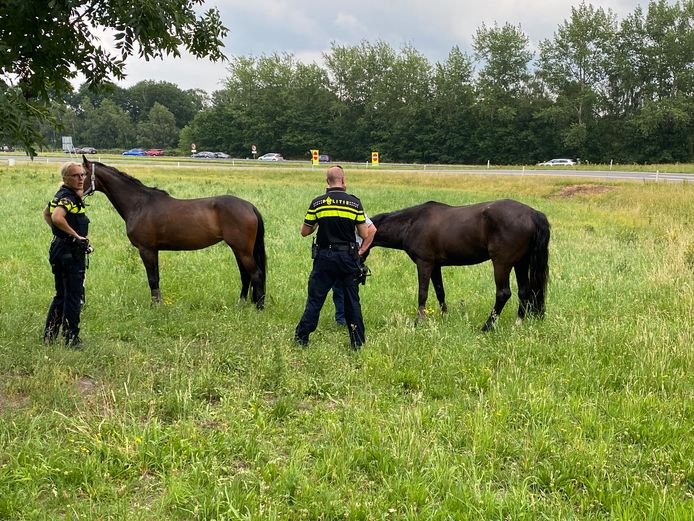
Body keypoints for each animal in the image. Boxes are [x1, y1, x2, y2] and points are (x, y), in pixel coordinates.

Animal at [81, 156, 266, 306]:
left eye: (82, 174)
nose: (75, 193)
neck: (139, 204)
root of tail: (249, 206)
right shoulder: (154, 250)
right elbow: (156, 278)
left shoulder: (146, 249)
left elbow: (152, 279)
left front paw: (155, 307)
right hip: (238, 250)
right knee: (246, 276)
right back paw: (242, 304)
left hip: (242, 250)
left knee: (256, 274)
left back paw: (259, 307)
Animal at [368, 199, 552, 330]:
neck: (412, 223)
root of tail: (532, 214)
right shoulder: (436, 266)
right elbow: (440, 292)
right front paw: (445, 318)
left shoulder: (424, 263)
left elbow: (423, 294)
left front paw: (418, 323)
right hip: (521, 262)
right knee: (524, 291)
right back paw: (517, 323)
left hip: (502, 263)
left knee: (503, 293)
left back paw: (487, 327)